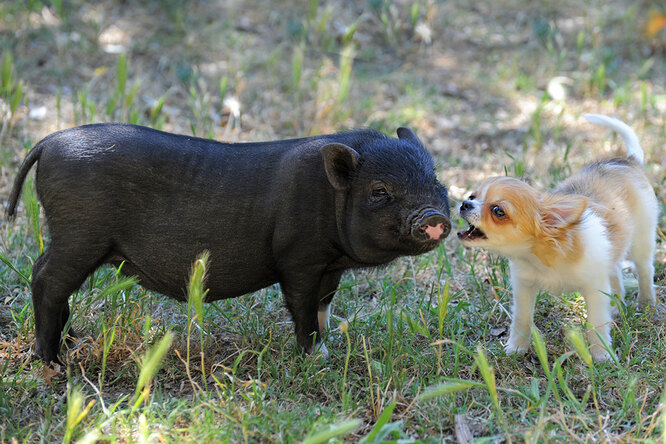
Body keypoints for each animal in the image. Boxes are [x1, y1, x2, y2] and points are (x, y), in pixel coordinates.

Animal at [5, 123, 448, 362]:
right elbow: (302, 307)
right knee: (45, 279)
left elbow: (325, 304)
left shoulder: (329, 265)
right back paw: (54, 361)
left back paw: (72, 342)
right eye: (380, 191)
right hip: (80, 234)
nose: (436, 216)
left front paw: (332, 345)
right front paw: (315, 356)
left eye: (435, 178)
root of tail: (50, 142)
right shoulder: (299, 258)